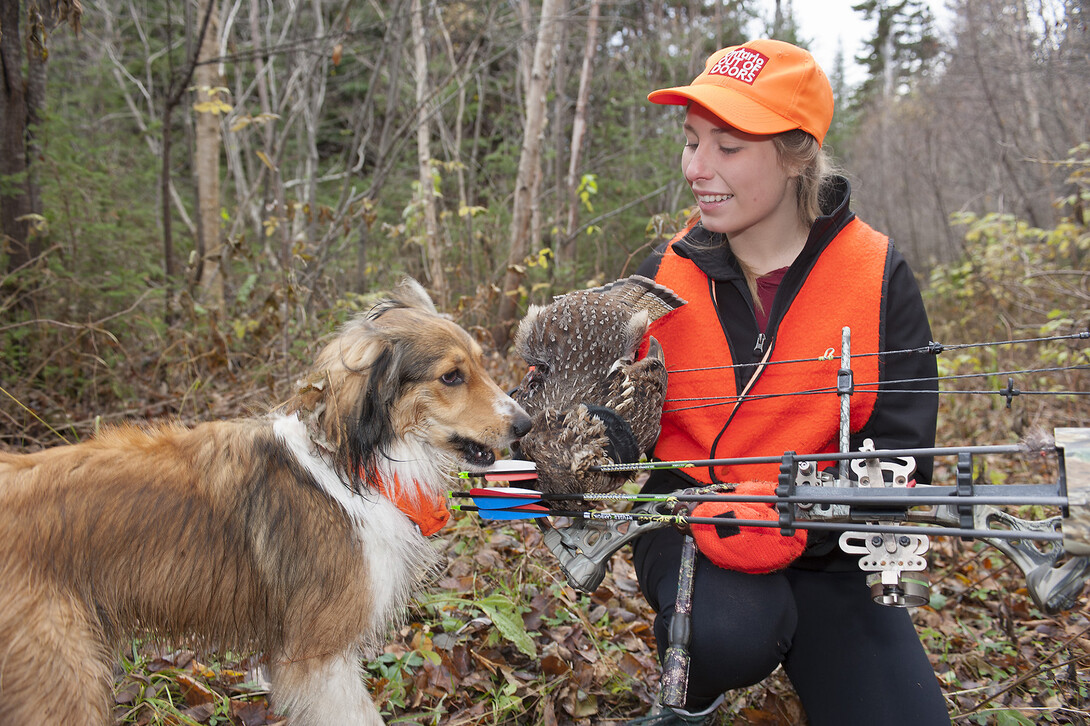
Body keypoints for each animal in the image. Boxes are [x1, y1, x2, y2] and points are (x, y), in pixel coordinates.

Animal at [0, 274, 531, 719]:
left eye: (480, 363)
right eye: (452, 376)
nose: (526, 425)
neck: (357, 463)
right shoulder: (319, 657)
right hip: (64, 681)